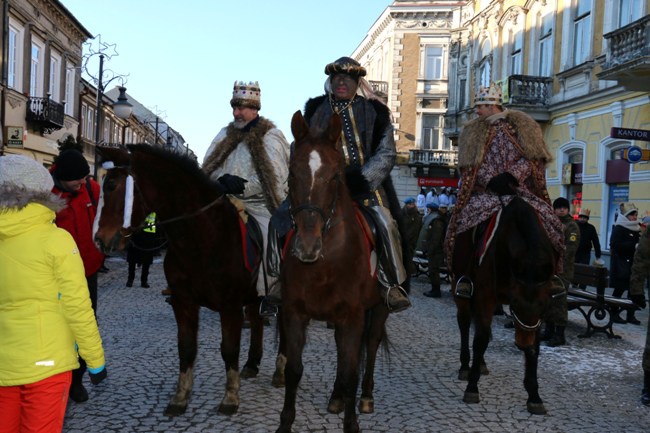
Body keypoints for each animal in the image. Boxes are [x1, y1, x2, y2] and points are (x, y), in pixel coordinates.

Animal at [92, 144, 270, 416]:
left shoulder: (230, 307)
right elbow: (186, 348)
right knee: (257, 321)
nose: (99, 240)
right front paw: (181, 396)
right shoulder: (184, 302)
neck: (203, 240)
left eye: (111, 185)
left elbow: (229, 349)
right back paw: (252, 363)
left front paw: (230, 397)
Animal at [276, 110, 388, 432]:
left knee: (371, 346)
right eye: (291, 174)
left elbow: (351, 372)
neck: (323, 265)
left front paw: (352, 423)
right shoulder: (294, 313)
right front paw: (285, 423)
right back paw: (337, 397)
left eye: (336, 176)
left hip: (379, 310)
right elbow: (294, 370)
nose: (307, 246)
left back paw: (366, 397)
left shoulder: (353, 316)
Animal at [450, 196, 556, 412]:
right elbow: (480, 339)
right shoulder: (485, 296)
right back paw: (465, 366)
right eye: (514, 302)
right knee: (465, 323)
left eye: (544, 305)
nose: (522, 342)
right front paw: (472, 387)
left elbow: (535, 347)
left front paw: (534, 395)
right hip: (460, 286)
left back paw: (480, 363)